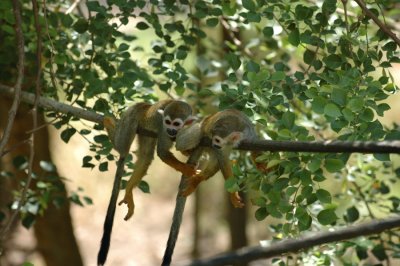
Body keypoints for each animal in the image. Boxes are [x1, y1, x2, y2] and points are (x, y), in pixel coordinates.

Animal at [97, 99, 197, 266]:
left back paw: (129, 189)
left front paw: (188, 152)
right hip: (132, 116)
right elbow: (163, 152)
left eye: (176, 124)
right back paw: (111, 129)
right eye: (167, 122)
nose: (171, 129)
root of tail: (145, 105)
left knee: (145, 155)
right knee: (124, 147)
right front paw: (187, 170)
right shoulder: (163, 130)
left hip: (145, 130)